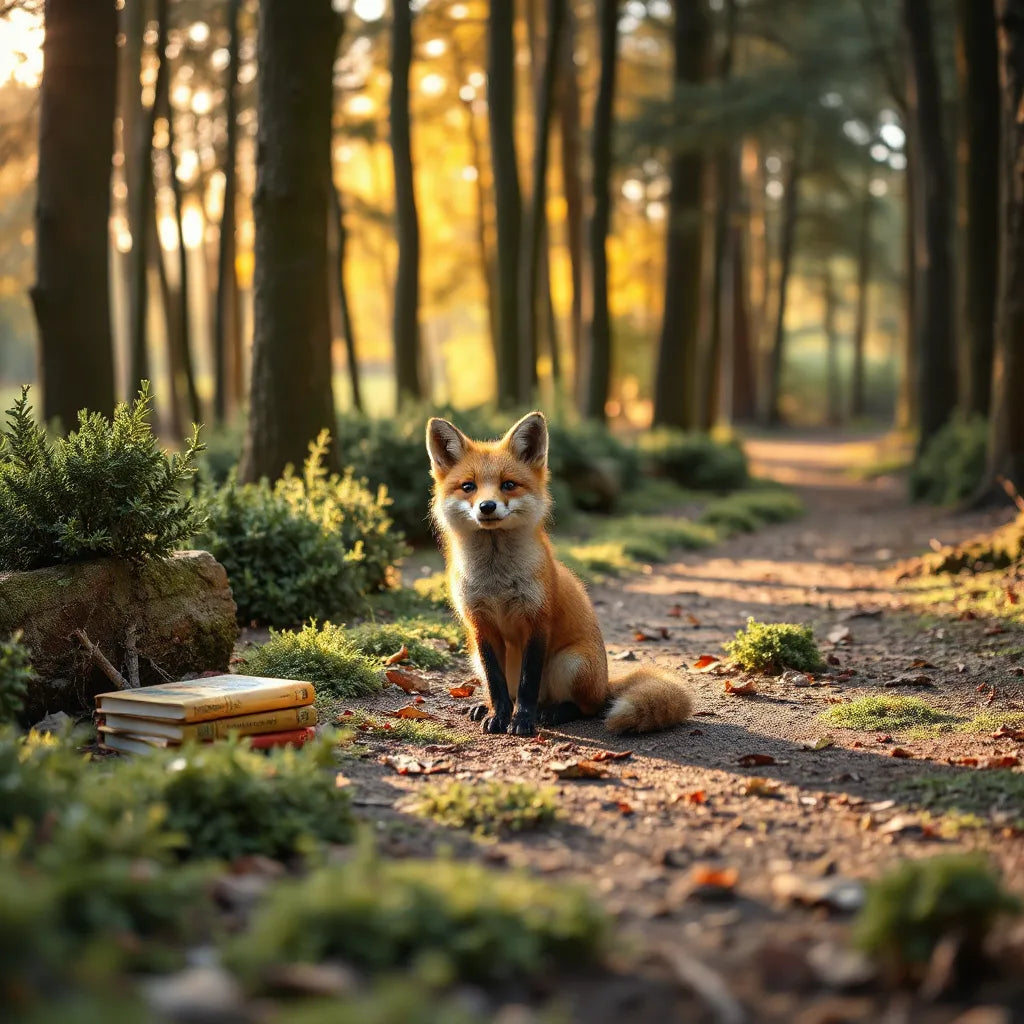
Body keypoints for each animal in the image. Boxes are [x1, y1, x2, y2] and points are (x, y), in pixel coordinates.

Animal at [426, 410, 693, 737]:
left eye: (508, 485)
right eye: (468, 487)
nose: (487, 507)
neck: (496, 580)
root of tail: (604, 682)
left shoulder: (537, 621)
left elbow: (528, 685)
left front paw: (522, 722)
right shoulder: (481, 628)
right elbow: (496, 685)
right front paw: (498, 716)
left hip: (571, 663)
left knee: (588, 707)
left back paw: (552, 713)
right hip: (475, 656)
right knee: (508, 691)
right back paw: (484, 707)